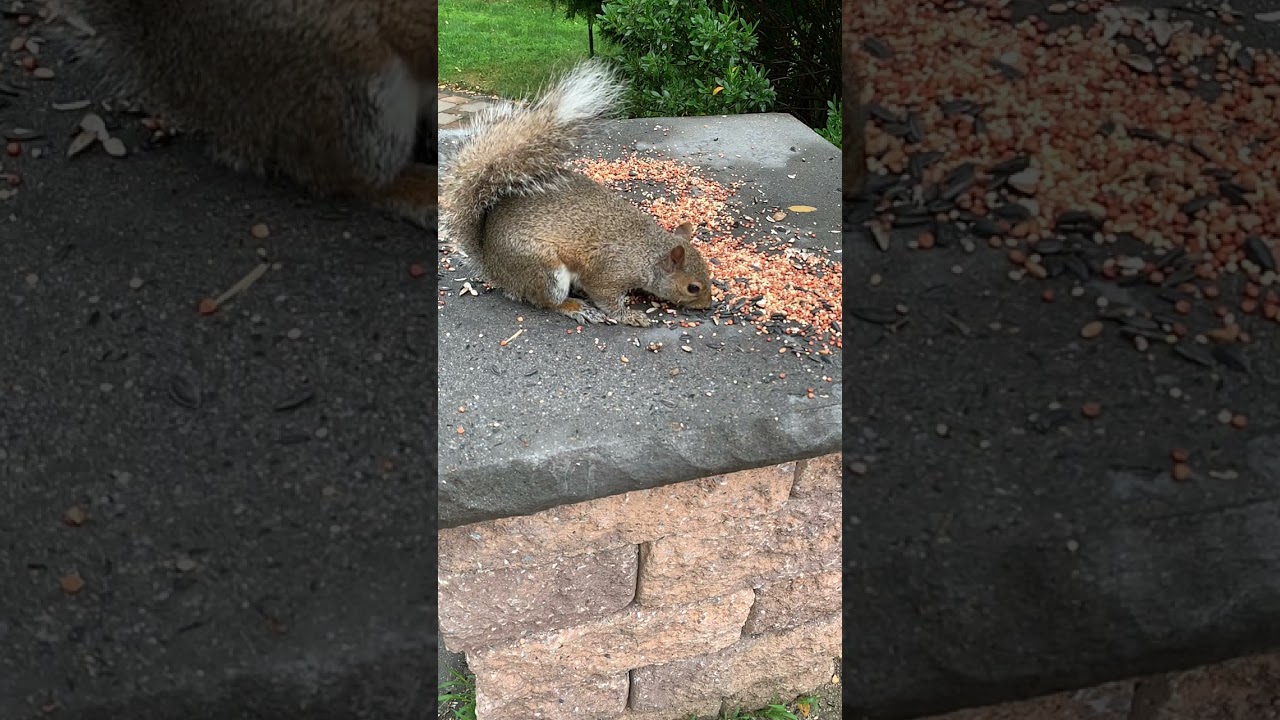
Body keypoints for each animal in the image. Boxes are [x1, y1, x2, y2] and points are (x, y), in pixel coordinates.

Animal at [439, 60, 714, 328]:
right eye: (693, 288)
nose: (708, 305)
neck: (649, 253)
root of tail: (491, 263)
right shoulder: (609, 272)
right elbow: (606, 298)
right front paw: (630, 316)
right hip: (546, 271)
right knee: (548, 301)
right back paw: (577, 307)